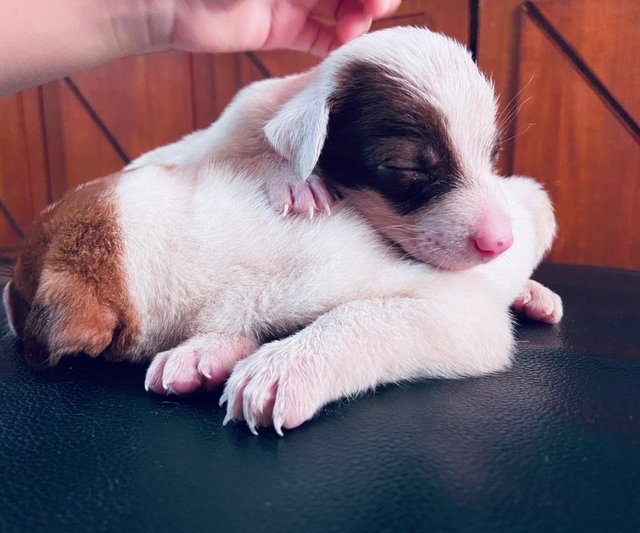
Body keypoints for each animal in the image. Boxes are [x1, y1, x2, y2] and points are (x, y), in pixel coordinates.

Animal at [2, 27, 560, 432]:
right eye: (405, 167)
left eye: (491, 156)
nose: (499, 241)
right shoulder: (235, 125)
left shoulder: (454, 309)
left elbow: (362, 318)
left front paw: (284, 365)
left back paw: (533, 292)